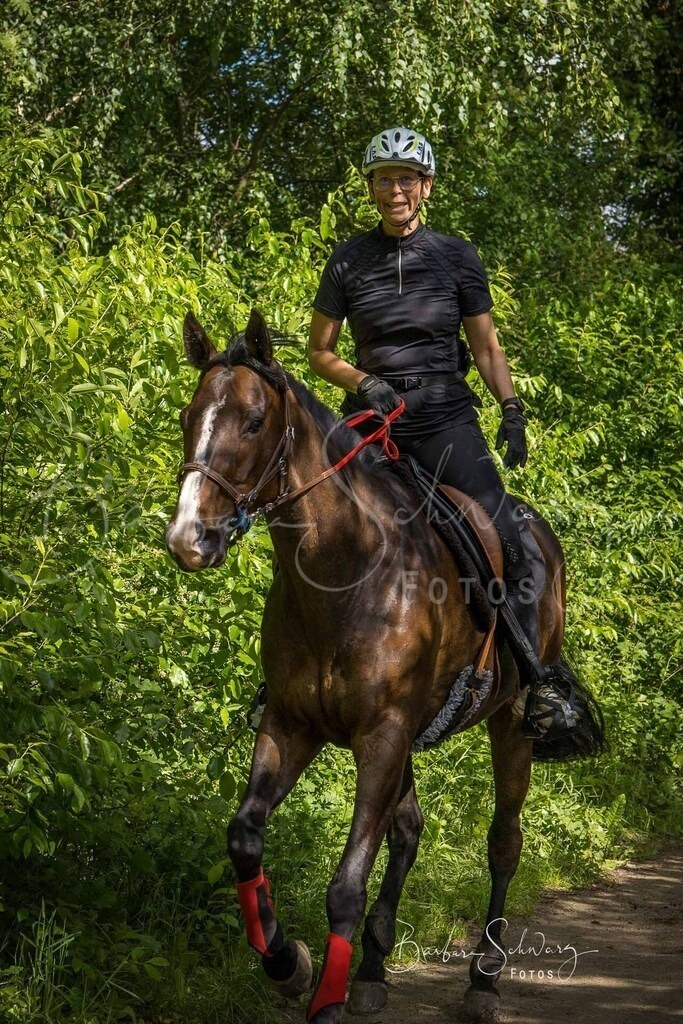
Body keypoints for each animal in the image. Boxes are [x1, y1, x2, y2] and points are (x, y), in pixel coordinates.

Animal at [165, 309, 605, 1024]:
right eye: (189, 415)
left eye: (253, 422)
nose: (189, 539)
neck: (345, 572)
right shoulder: (293, 726)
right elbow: (245, 838)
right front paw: (288, 964)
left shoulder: (383, 735)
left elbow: (346, 884)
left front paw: (324, 999)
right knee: (407, 831)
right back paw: (372, 969)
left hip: (509, 723)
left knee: (503, 842)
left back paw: (483, 980)